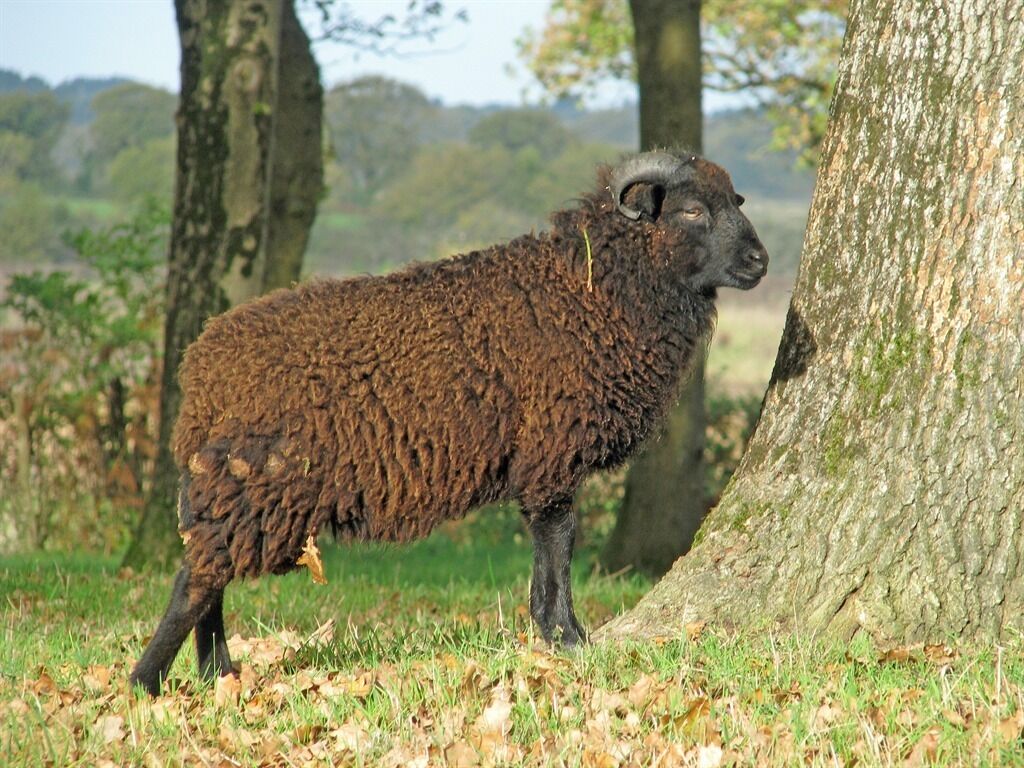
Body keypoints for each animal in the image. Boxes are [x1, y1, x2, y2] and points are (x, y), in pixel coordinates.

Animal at [129, 150, 769, 695]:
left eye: (735, 200)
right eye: (692, 210)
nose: (760, 262)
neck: (591, 287)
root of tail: (202, 368)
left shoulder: (547, 459)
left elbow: (550, 548)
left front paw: (551, 633)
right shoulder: (551, 453)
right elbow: (559, 541)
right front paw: (567, 637)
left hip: (233, 486)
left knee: (209, 574)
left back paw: (218, 674)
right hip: (256, 481)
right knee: (195, 580)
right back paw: (147, 682)